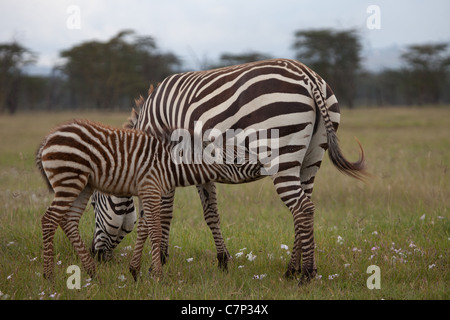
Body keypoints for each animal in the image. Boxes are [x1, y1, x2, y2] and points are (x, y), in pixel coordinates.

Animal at [35, 119, 260, 278]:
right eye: (238, 158)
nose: (263, 164)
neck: (169, 164)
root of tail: (47, 139)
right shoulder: (151, 189)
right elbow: (156, 229)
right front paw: (158, 274)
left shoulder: (145, 191)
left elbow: (144, 227)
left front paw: (135, 271)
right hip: (69, 180)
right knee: (49, 219)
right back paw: (49, 275)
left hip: (82, 185)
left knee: (68, 221)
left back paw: (92, 272)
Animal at [90, 59, 366, 282]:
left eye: (93, 204)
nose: (95, 256)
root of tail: (308, 76)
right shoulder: (199, 166)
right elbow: (211, 213)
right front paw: (223, 261)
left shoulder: (162, 163)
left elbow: (164, 214)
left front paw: (159, 261)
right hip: (311, 159)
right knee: (305, 208)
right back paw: (294, 270)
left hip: (281, 154)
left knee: (302, 208)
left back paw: (305, 274)